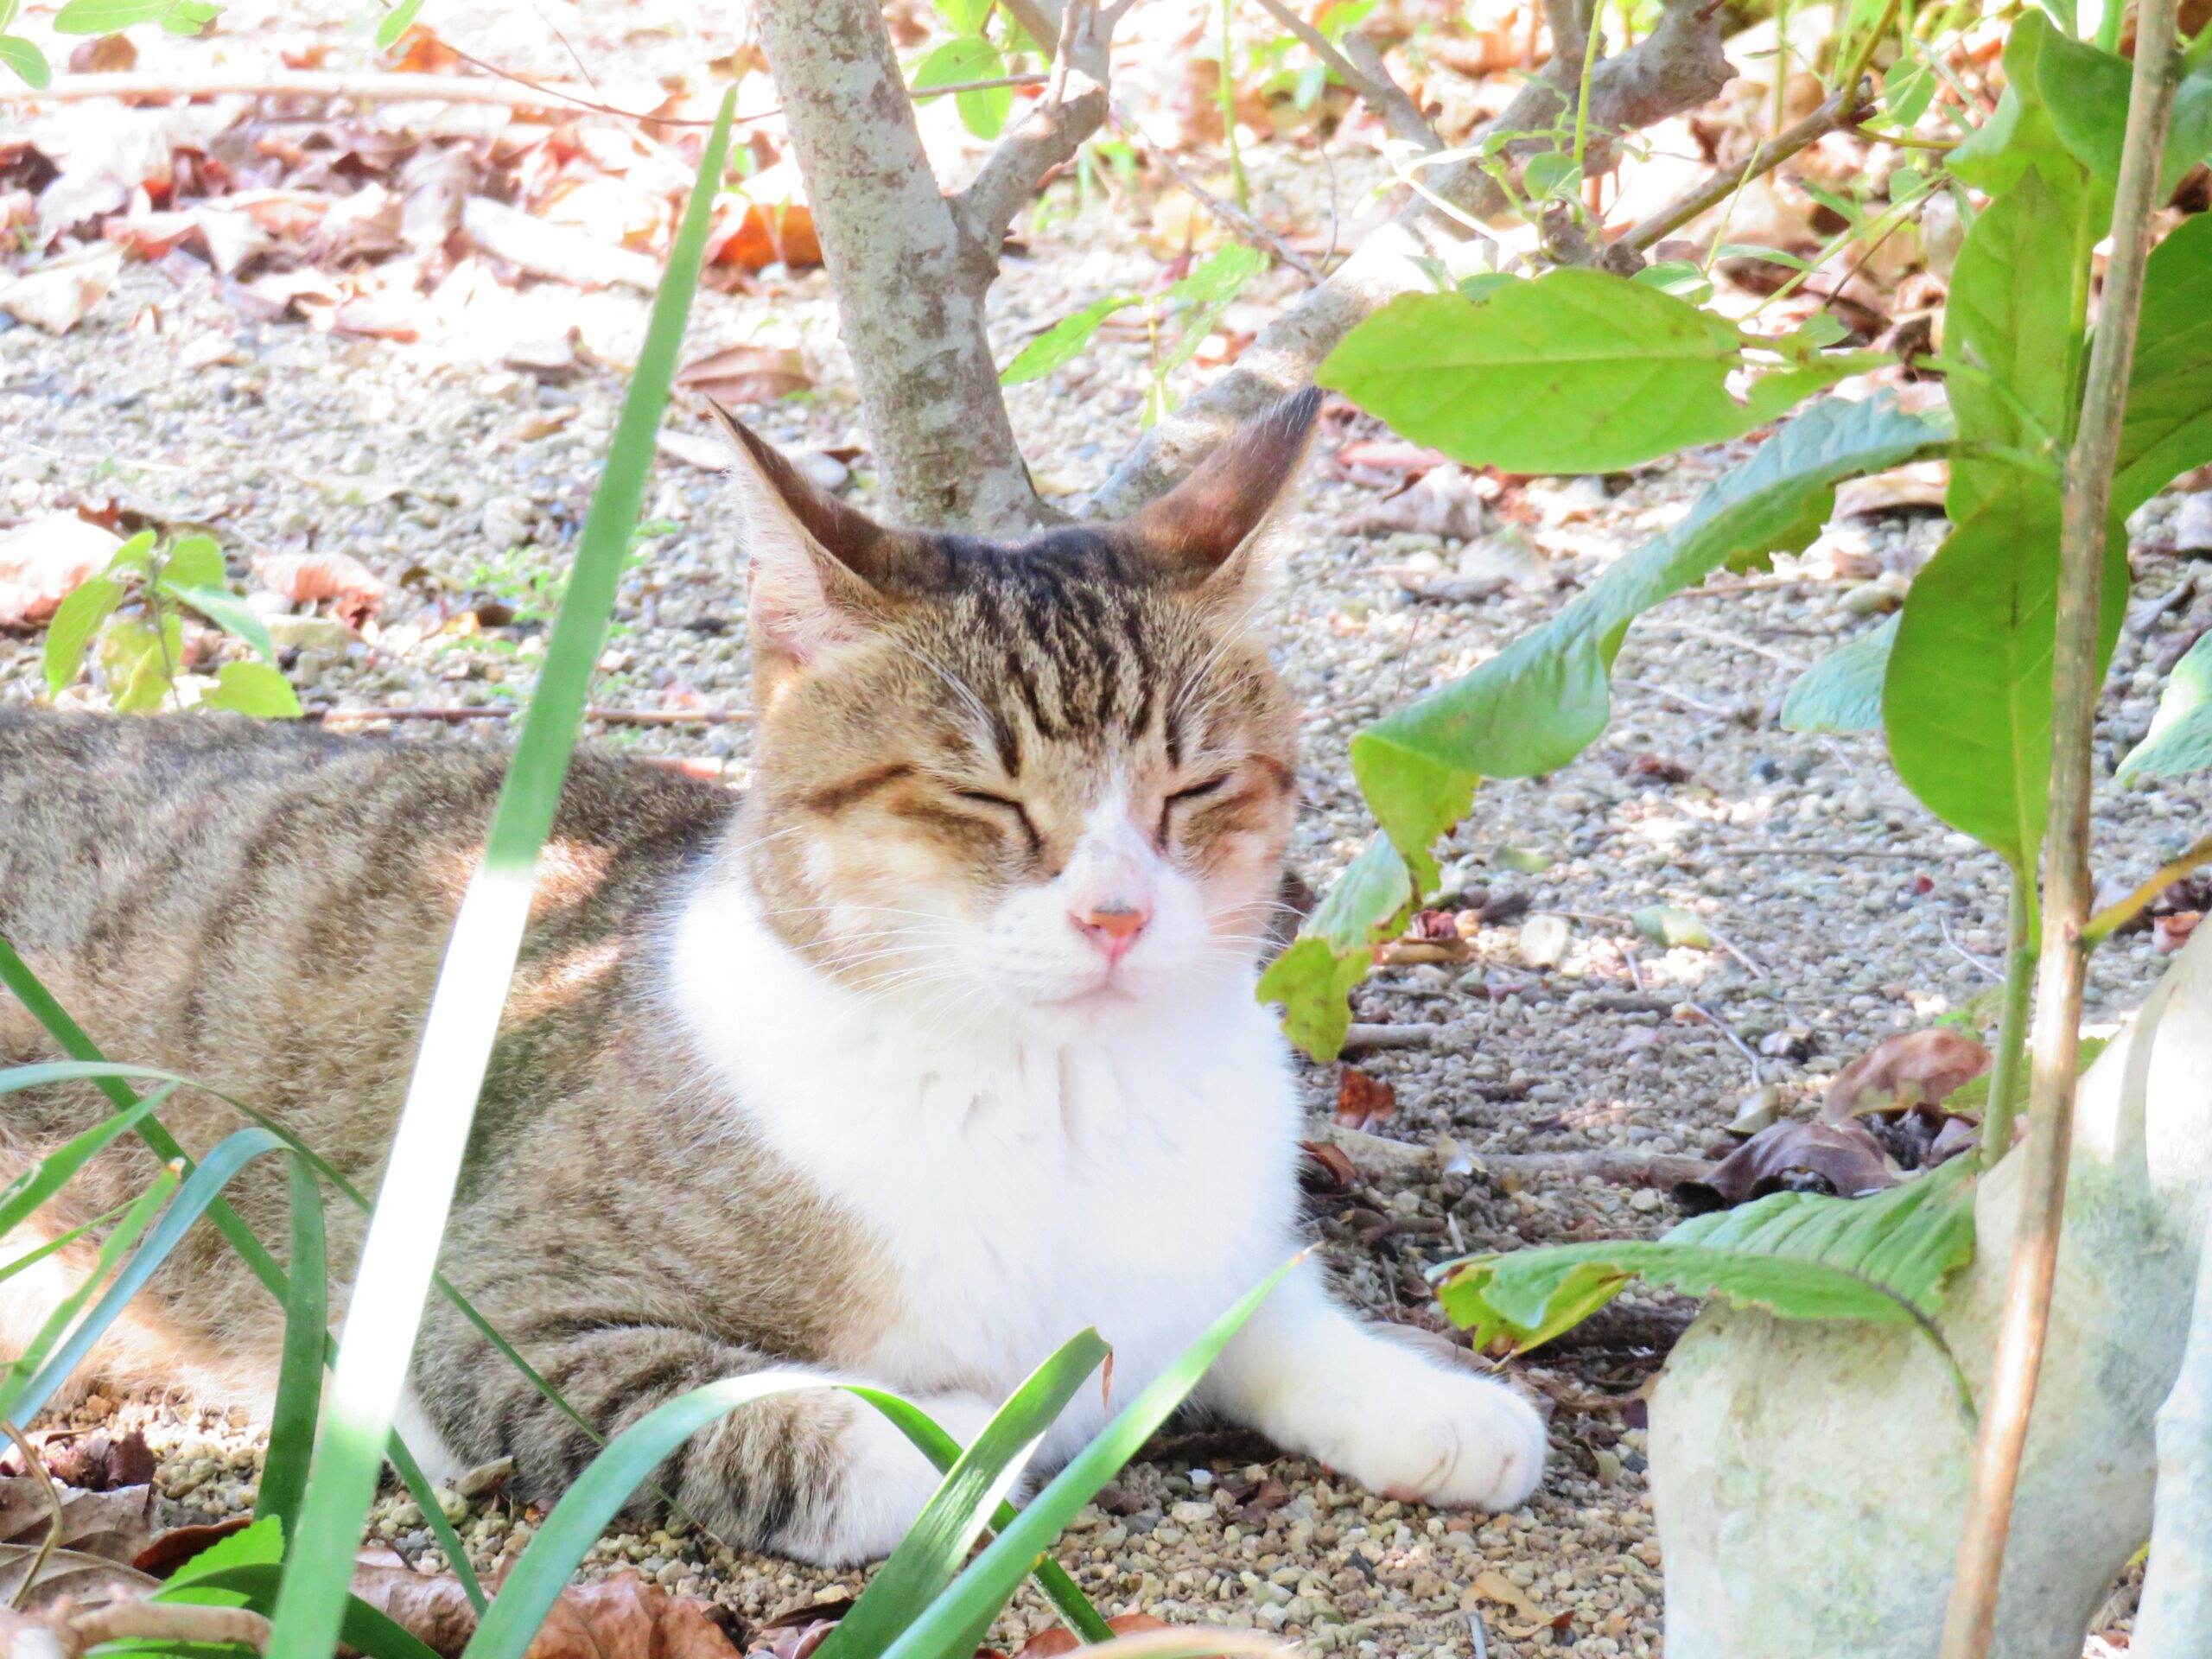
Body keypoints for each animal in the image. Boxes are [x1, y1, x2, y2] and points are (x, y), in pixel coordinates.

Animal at [0, 393, 1548, 1574]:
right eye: (984, 795)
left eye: (1196, 788)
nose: (1116, 915)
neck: (1056, 1097)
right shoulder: (487, 1313)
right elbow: (848, 1430)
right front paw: (997, 1423)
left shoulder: (1204, 1245)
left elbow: (1265, 1307)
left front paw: (1429, 1400)